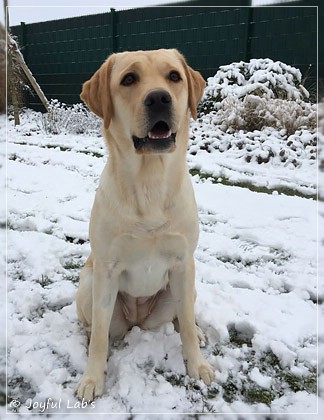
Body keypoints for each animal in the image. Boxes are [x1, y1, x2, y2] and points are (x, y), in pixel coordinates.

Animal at [74, 49, 214, 400]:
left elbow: (186, 324)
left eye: (174, 76)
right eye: (128, 79)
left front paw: (197, 365)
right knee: (94, 326)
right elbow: (100, 336)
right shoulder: (106, 269)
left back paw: (200, 333)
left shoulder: (183, 262)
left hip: (184, 287)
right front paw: (92, 379)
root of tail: (137, 323)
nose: (159, 98)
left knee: (184, 317)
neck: (150, 180)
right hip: (88, 285)